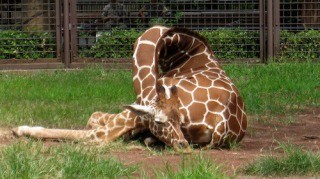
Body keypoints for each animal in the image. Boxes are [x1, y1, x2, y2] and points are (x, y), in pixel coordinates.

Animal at [11, 25, 248, 151]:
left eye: (177, 120)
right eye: (161, 121)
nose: (182, 144)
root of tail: (222, 125)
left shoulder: (139, 107)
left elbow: (94, 121)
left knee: (95, 135)